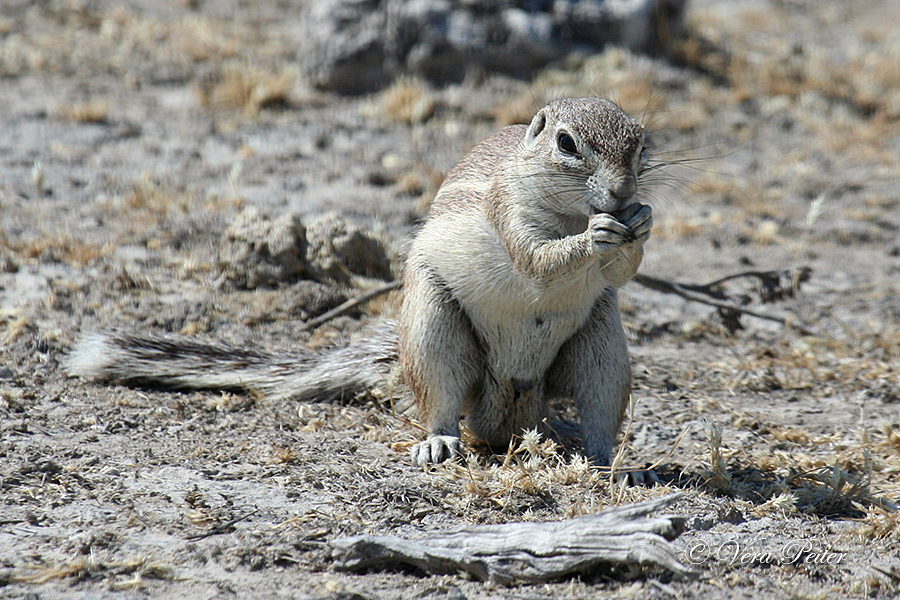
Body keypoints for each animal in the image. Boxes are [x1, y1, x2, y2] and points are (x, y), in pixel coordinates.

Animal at [65, 96, 652, 466]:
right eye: (567, 144)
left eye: (640, 143)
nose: (624, 194)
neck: (568, 212)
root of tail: (511, 405)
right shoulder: (507, 212)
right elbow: (536, 259)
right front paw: (594, 236)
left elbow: (620, 272)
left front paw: (641, 224)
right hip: (433, 330)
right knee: (440, 403)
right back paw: (439, 443)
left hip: (603, 346)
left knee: (600, 406)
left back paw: (607, 457)